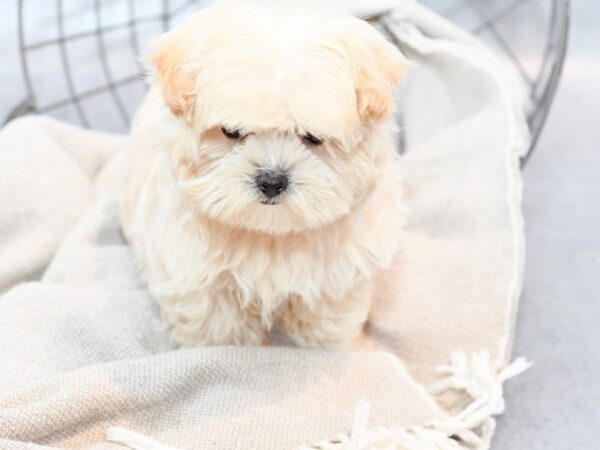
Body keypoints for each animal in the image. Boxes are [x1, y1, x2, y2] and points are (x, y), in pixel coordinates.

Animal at [117, 0, 408, 348]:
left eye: (312, 137)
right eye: (231, 132)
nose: (271, 181)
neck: (271, 234)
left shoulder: (341, 270)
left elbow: (327, 315)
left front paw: (323, 346)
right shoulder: (197, 273)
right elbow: (218, 326)